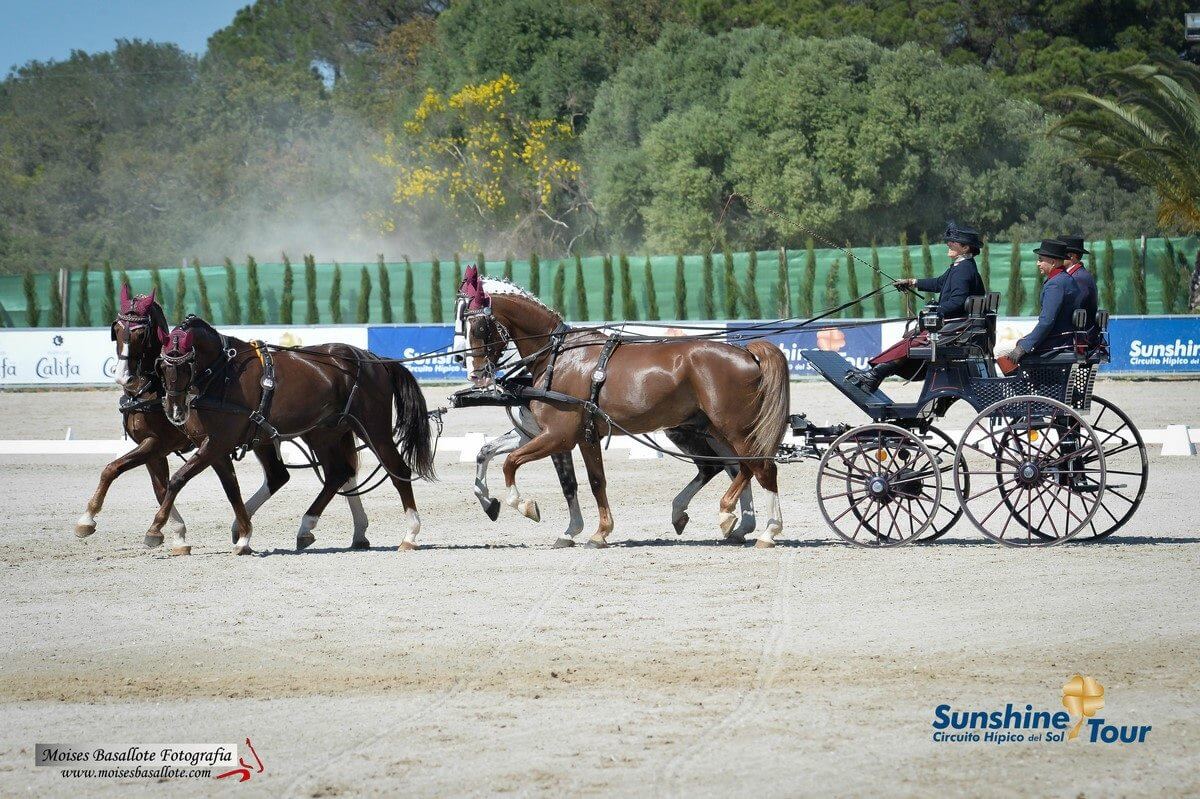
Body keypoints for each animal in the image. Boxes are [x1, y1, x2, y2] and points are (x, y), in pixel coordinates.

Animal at [74, 286, 367, 554]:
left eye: (141, 332)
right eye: (117, 329)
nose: (124, 376)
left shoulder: (162, 443)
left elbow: (123, 472)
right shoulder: (155, 448)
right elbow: (148, 483)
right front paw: (176, 535)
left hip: (317, 434)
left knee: (338, 473)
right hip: (277, 437)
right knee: (301, 475)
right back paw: (357, 532)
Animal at [150, 314, 432, 551]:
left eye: (187, 365)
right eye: (161, 367)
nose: (174, 410)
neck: (224, 373)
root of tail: (372, 359)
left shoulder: (219, 442)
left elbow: (179, 479)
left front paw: (156, 528)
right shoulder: (217, 445)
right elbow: (230, 488)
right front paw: (242, 534)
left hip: (373, 428)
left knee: (397, 471)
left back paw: (410, 534)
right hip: (325, 433)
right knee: (337, 474)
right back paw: (309, 528)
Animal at [456, 267, 787, 547]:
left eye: (479, 326)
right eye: (461, 323)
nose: (474, 373)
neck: (558, 357)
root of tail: (747, 352)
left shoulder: (559, 435)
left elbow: (513, 463)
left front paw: (528, 507)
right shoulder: (566, 435)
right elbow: (585, 480)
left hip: (734, 427)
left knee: (759, 466)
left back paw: (762, 529)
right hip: (710, 428)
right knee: (734, 466)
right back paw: (722, 519)